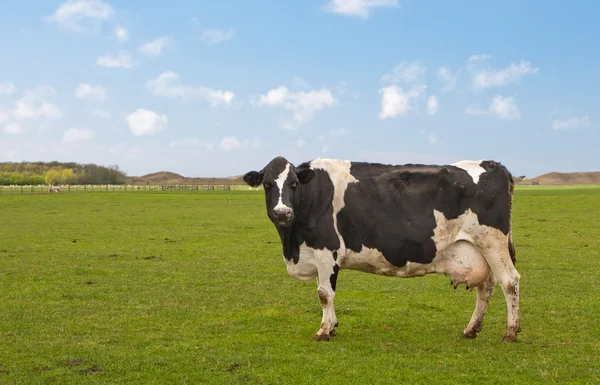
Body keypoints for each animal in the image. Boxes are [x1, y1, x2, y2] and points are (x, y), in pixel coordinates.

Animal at [244, 156, 520, 342]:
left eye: (293, 184)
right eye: (267, 184)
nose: (282, 212)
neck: (292, 243)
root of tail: (493, 164)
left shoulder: (326, 252)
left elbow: (324, 294)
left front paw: (324, 330)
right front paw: (332, 326)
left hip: (492, 241)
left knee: (509, 281)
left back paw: (511, 332)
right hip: (480, 249)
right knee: (485, 287)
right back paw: (471, 329)